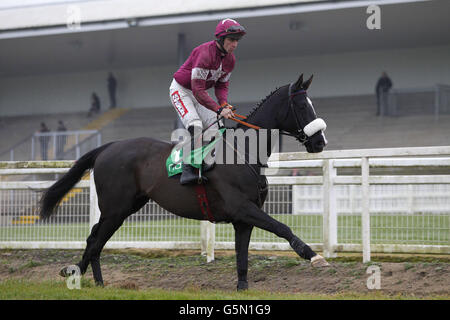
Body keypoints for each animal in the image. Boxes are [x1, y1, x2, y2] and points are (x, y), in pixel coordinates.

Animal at [40, 74, 328, 290]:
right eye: (302, 106)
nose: (320, 142)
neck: (244, 153)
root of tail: (107, 147)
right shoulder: (243, 208)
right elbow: (282, 227)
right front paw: (314, 255)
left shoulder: (243, 218)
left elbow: (242, 256)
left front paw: (242, 287)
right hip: (115, 209)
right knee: (95, 240)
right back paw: (85, 278)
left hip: (125, 207)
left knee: (94, 239)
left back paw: (88, 278)